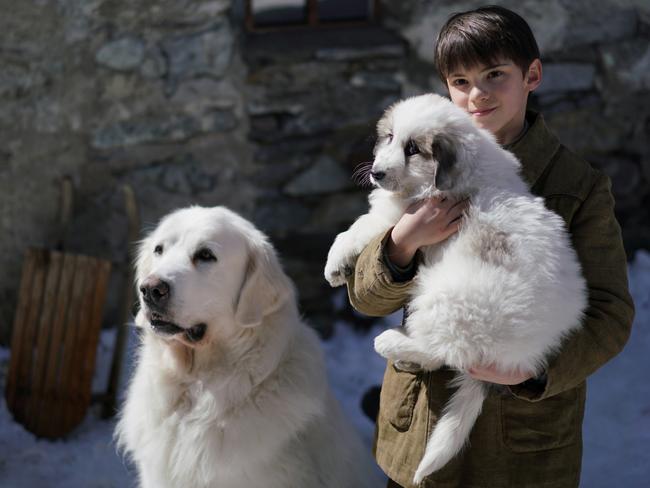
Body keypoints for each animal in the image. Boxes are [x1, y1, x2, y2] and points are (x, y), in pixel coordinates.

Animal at [326, 93, 584, 482]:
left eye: (413, 149)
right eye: (389, 138)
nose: (376, 173)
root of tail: (526, 352)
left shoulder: (397, 216)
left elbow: (358, 227)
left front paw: (334, 264)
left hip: (447, 299)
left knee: (445, 351)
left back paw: (390, 342)